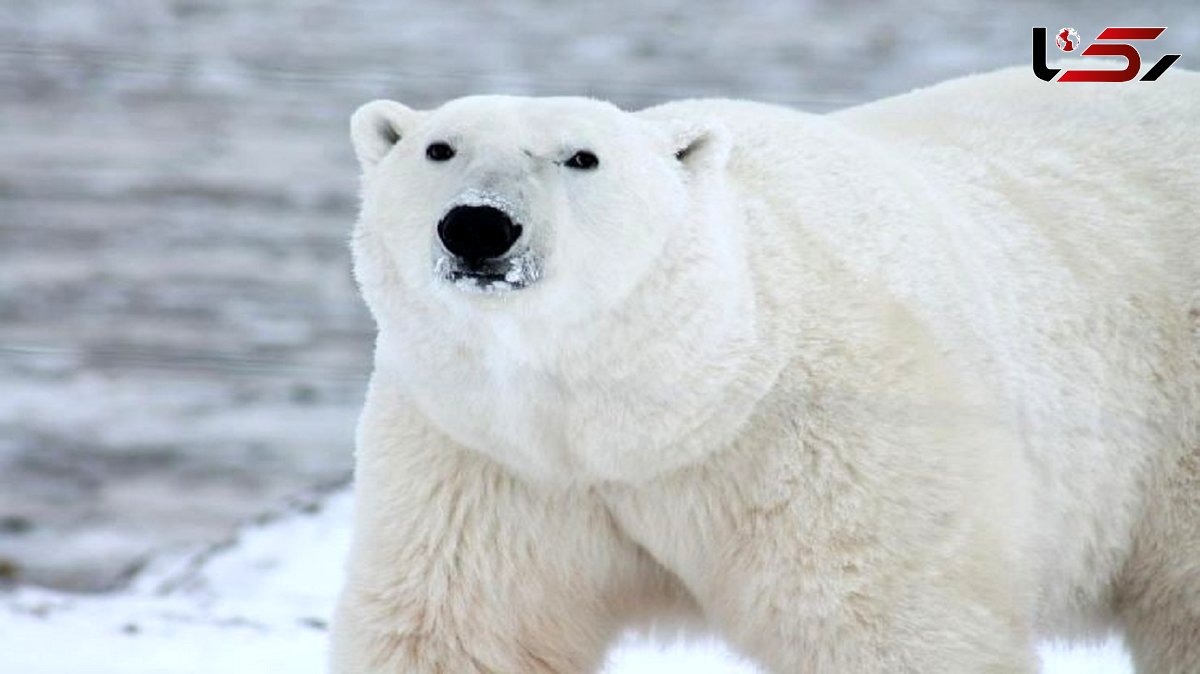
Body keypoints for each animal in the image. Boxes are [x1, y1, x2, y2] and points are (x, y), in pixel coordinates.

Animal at [331, 66, 1200, 671]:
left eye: (582, 157)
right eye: (439, 148)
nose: (479, 226)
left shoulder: (831, 443)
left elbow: (888, 625)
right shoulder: (487, 459)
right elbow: (462, 630)